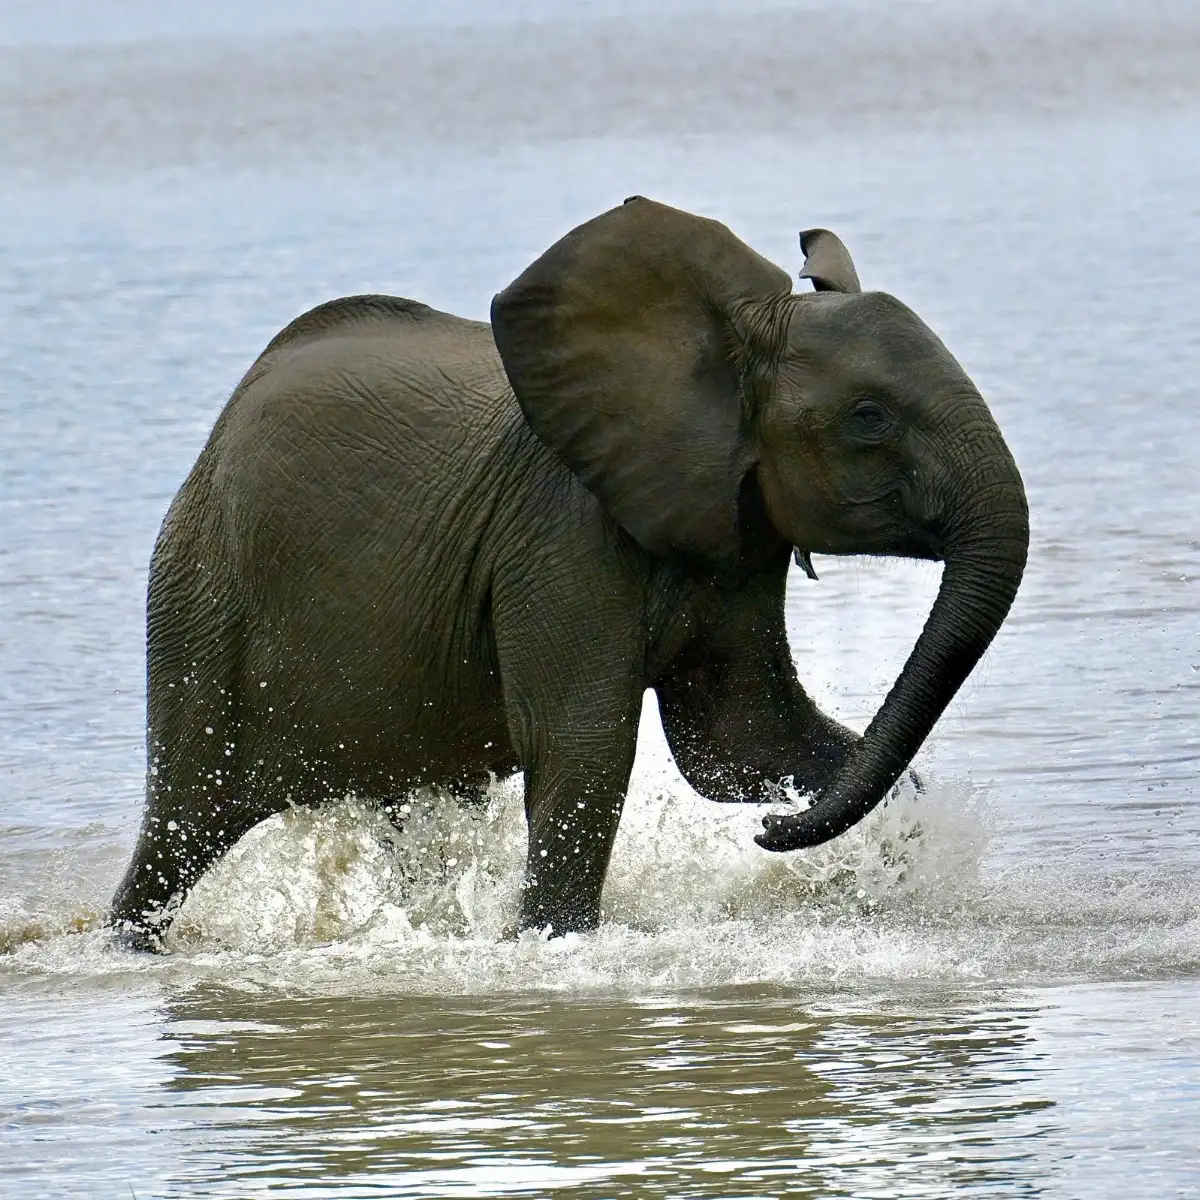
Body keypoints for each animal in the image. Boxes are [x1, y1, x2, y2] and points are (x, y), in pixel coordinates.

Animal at [109, 197, 1028, 949]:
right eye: (869, 419)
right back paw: (129, 942)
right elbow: (587, 743)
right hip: (201, 593)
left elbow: (739, 736)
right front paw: (553, 944)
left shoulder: (733, 533)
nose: (772, 829)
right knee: (184, 822)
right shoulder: (561, 530)